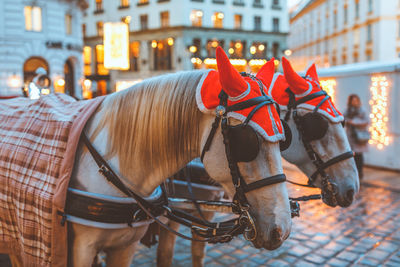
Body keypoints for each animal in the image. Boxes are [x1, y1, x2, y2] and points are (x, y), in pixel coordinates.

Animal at [65, 48, 290, 267]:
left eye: (284, 138)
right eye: (246, 142)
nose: (281, 230)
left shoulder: (127, 246)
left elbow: (184, 255)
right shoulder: (81, 248)